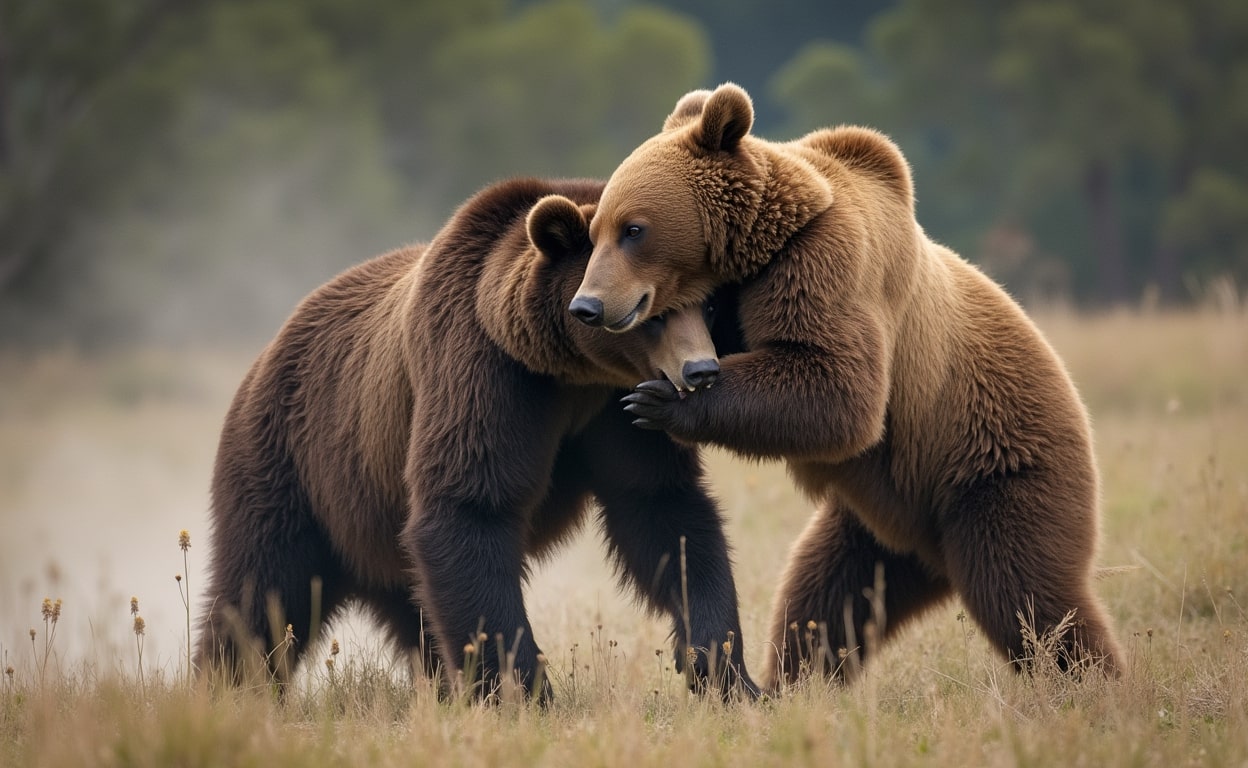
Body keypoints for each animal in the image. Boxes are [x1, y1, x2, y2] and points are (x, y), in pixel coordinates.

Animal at [196, 176, 759, 700]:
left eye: (708, 305)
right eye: (654, 310)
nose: (701, 370)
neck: (568, 367)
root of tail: (270, 347)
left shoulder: (616, 407)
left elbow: (661, 508)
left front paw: (725, 669)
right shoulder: (485, 371)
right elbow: (470, 508)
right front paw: (527, 691)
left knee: (413, 608)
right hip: (298, 461)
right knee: (264, 584)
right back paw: (226, 688)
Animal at [568, 84, 1123, 688]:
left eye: (633, 229)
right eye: (596, 232)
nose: (588, 305)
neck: (761, 250)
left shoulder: (828, 264)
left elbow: (835, 385)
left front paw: (662, 399)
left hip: (995, 466)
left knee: (1026, 591)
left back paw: (1091, 681)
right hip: (874, 524)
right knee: (823, 598)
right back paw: (795, 682)